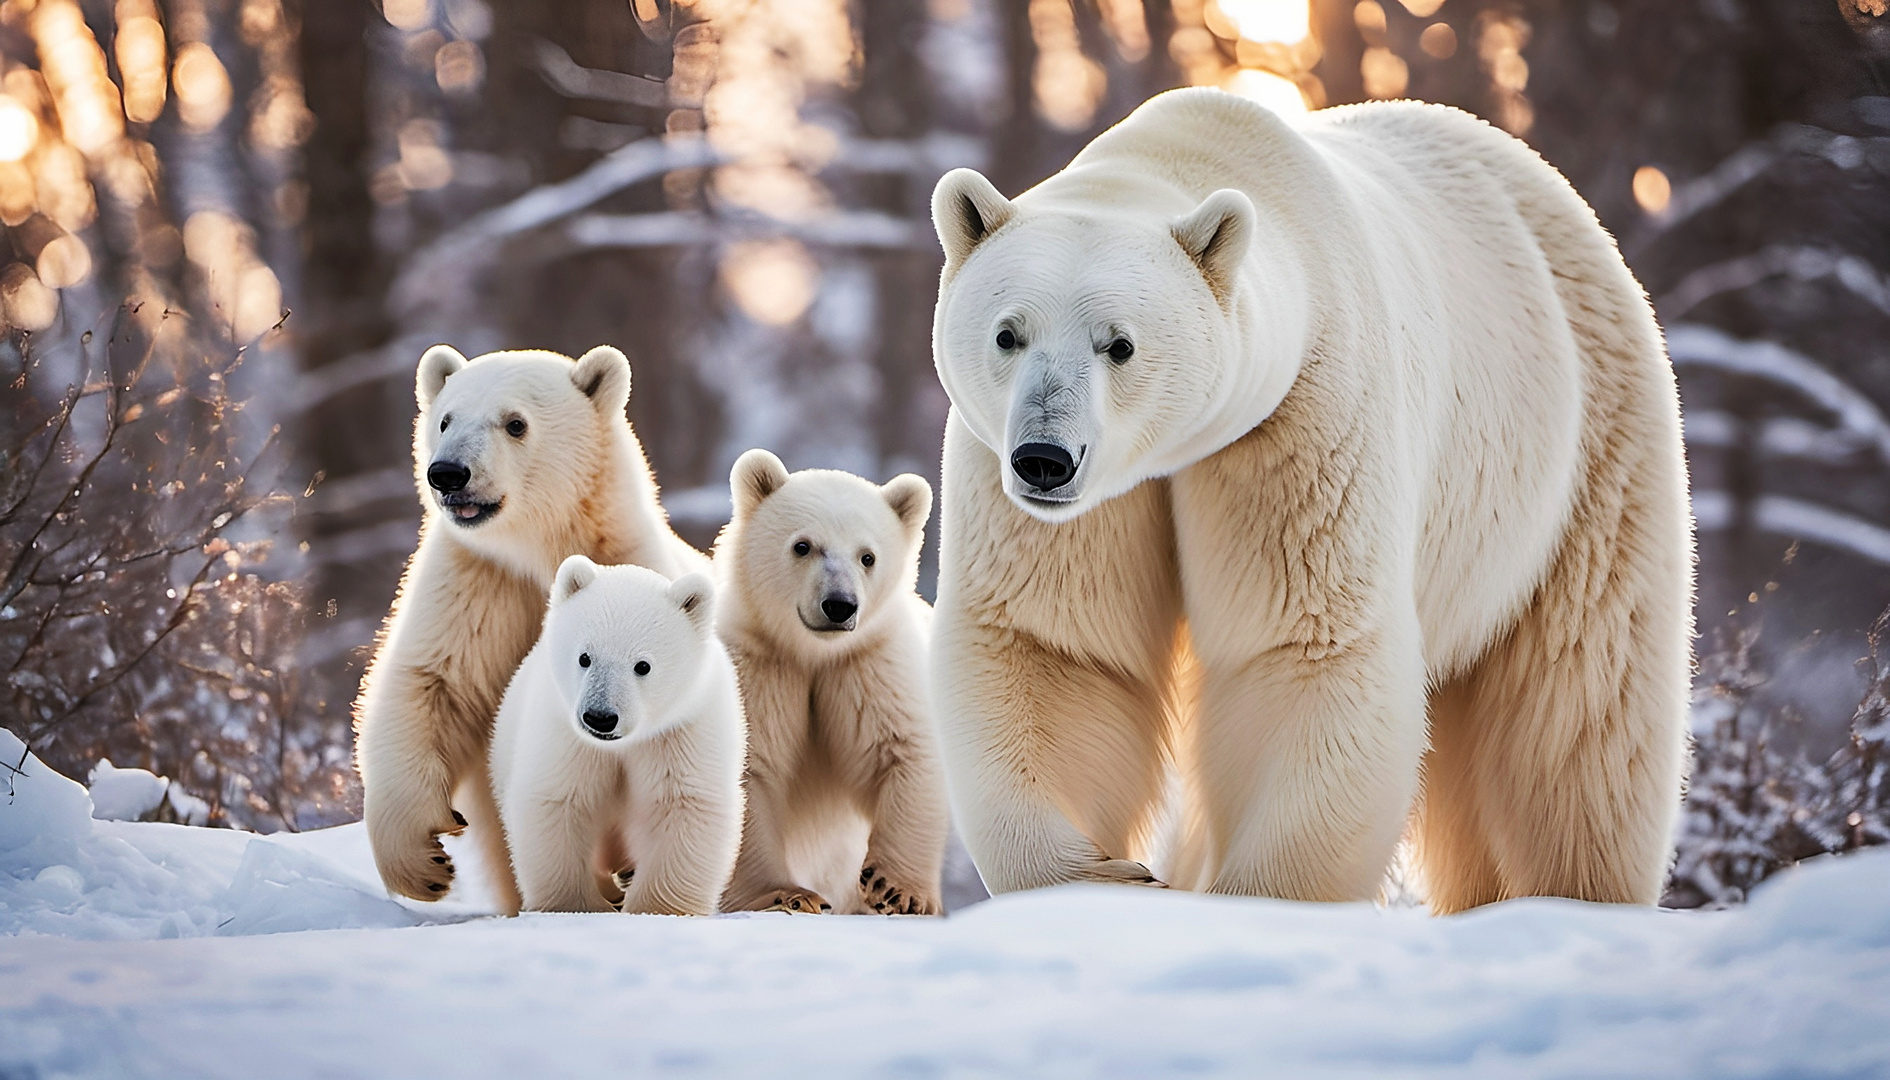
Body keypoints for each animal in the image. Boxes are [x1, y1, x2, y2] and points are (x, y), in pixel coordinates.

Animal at [937, 90, 1693, 911]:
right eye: (1007, 333)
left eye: (1121, 344)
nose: (1044, 459)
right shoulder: (1062, 493)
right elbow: (1054, 647)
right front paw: (1102, 876)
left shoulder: (1304, 419)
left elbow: (1304, 644)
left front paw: (1252, 899)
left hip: (1587, 448)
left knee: (1582, 711)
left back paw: (1575, 892)